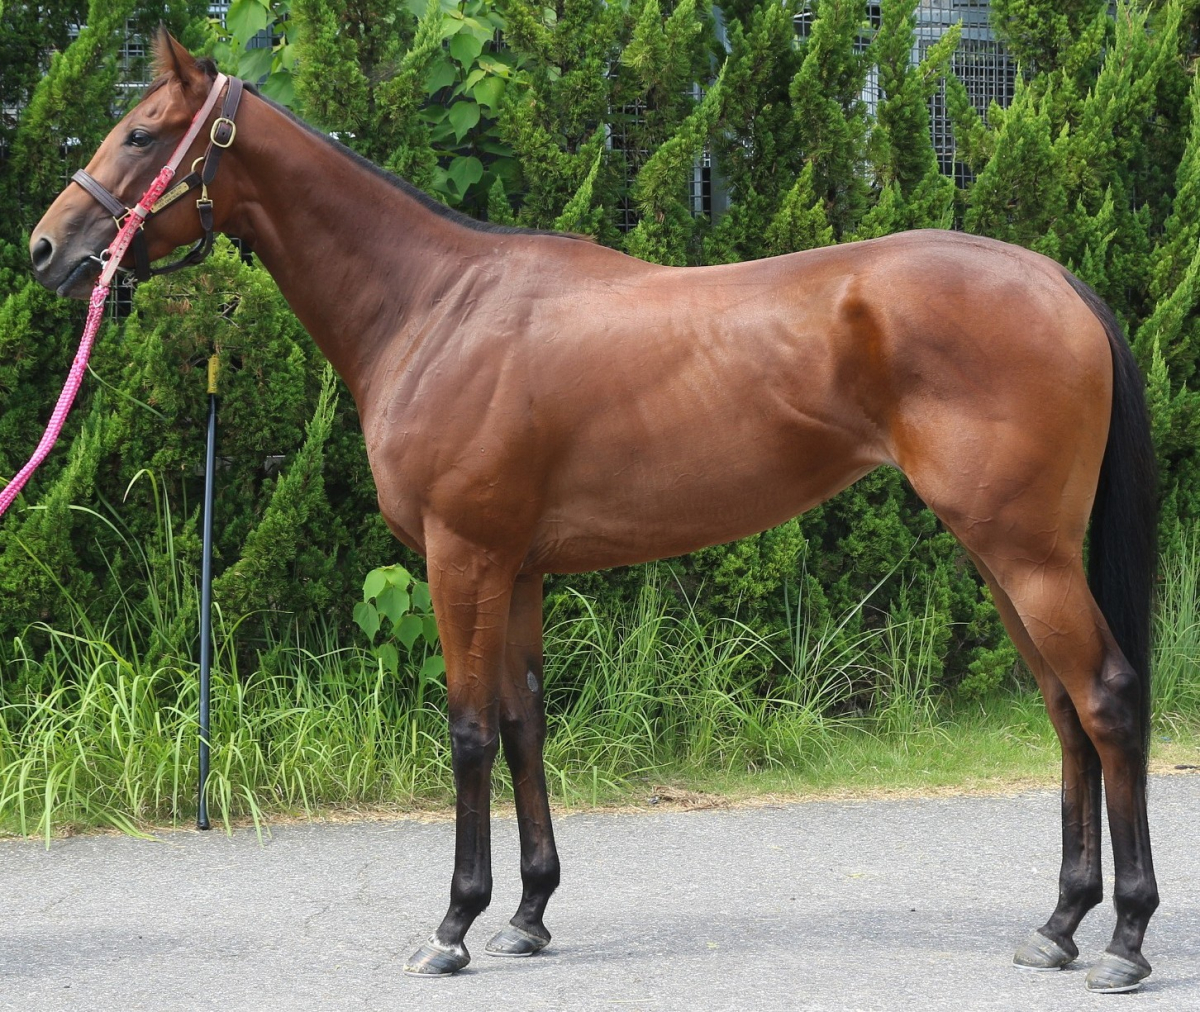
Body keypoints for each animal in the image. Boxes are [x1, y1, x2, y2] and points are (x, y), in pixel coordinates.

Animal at [28, 32, 1159, 992]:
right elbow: (526, 721)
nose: (45, 250)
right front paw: (528, 914)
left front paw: (454, 925)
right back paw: (1060, 925)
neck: (435, 307)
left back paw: (1126, 939)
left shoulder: (461, 557)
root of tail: (1055, 279)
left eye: (141, 133)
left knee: (1104, 698)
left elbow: (469, 730)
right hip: (1005, 554)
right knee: (1063, 709)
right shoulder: (520, 567)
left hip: (1025, 551)